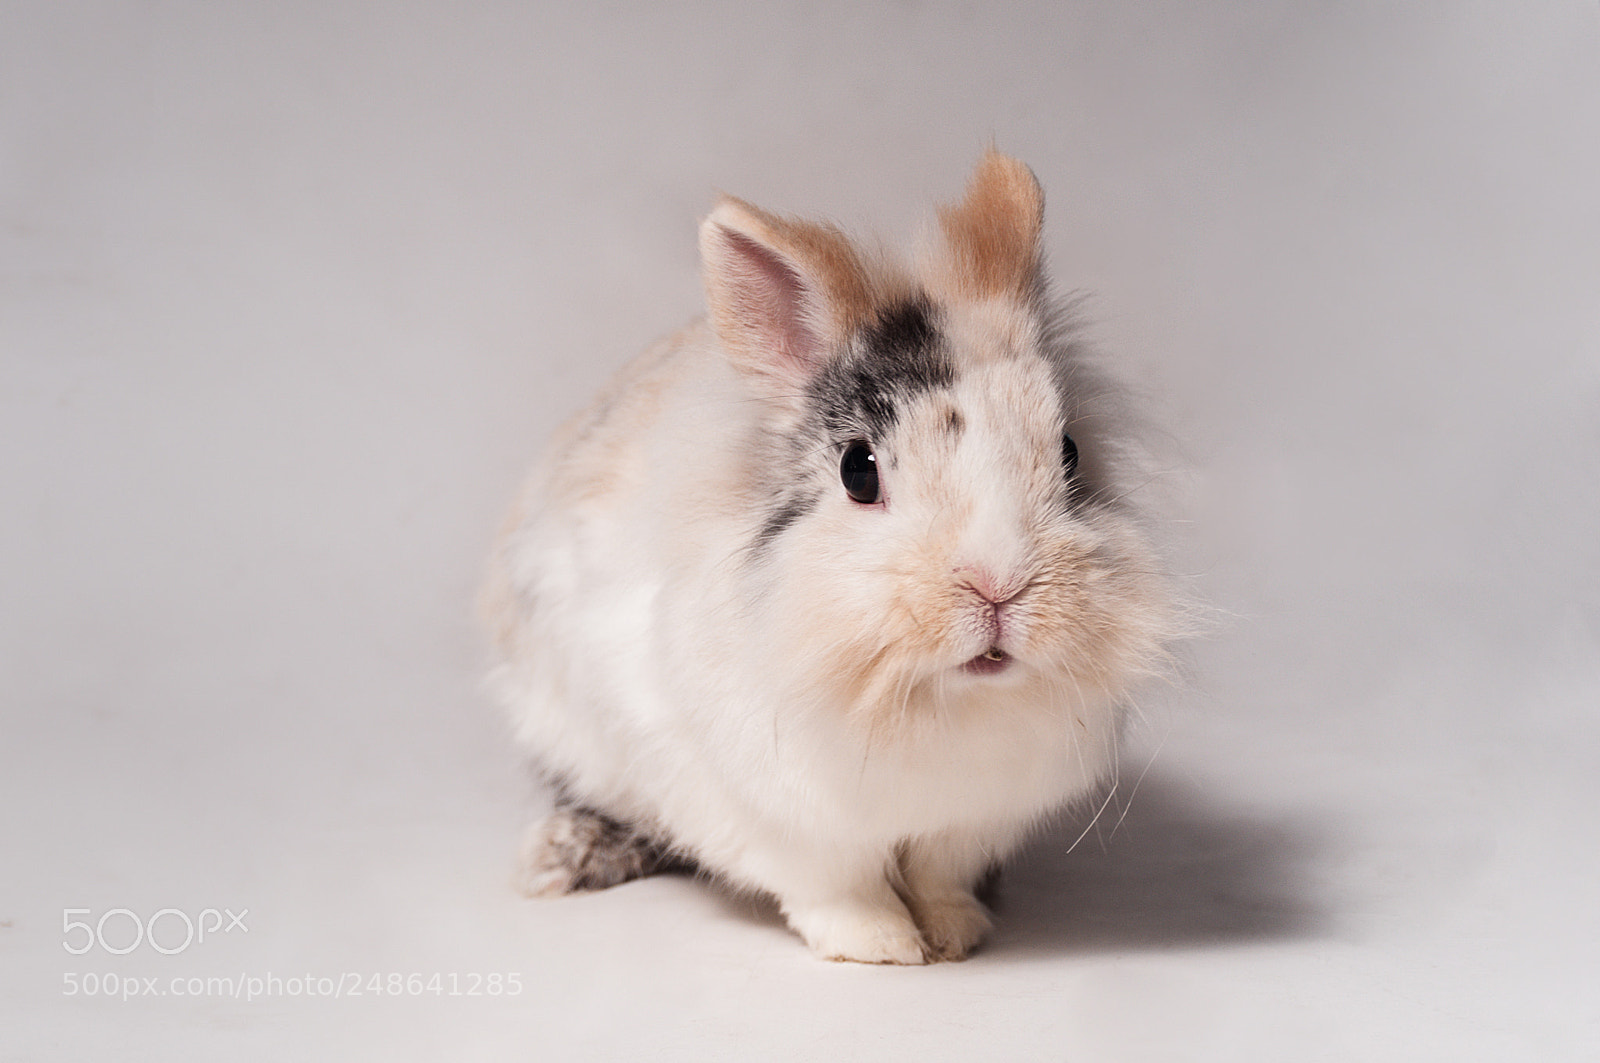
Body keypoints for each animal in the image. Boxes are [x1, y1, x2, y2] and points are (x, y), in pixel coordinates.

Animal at [482, 152, 1178, 964]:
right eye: (858, 472)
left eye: (1069, 454)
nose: (999, 585)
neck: (930, 702)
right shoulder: (766, 812)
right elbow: (837, 886)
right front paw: (883, 945)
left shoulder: (968, 821)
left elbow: (940, 877)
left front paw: (954, 935)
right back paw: (559, 857)